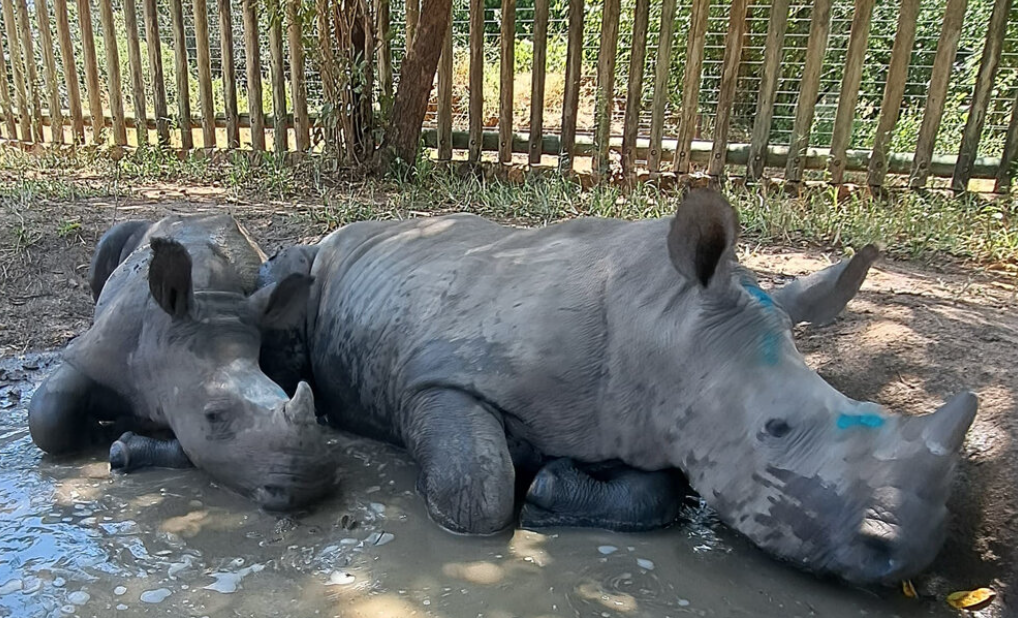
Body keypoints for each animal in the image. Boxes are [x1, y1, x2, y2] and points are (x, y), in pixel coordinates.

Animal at [28, 214, 335, 511]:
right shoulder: (95, 352)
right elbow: (48, 416)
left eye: (287, 394)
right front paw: (94, 435)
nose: (309, 482)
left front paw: (122, 447)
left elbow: (193, 447)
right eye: (213, 416)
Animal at [258, 189, 977, 584]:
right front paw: (530, 489)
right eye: (775, 429)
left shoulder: (648, 418)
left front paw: (551, 488)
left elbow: (658, 496)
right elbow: (478, 490)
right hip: (315, 263)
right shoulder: (436, 376)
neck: (662, 322)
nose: (912, 553)